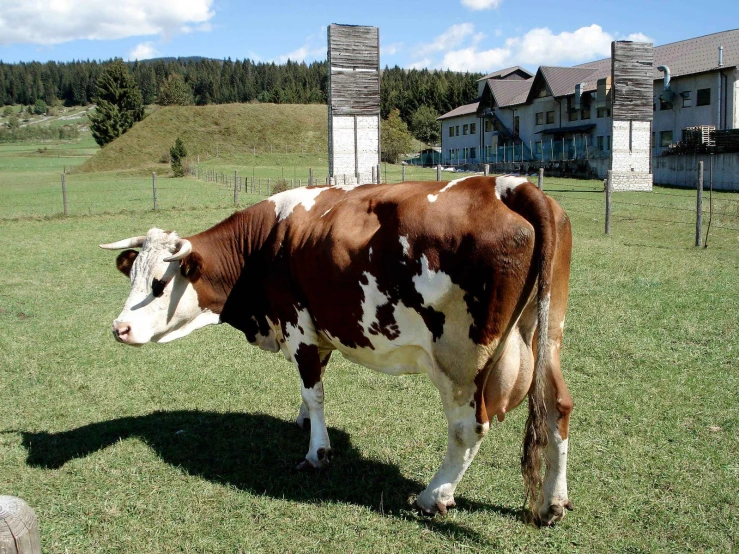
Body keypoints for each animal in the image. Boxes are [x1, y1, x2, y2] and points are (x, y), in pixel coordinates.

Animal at [99, 174, 572, 520]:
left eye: (158, 285)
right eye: (132, 276)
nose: (120, 328)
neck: (264, 244)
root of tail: (506, 185)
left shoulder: (298, 326)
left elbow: (315, 390)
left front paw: (317, 451)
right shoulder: (317, 328)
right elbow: (311, 387)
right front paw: (303, 421)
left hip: (461, 358)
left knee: (467, 428)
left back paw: (433, 495)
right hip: (547, 335)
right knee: (557, 405)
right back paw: (554, 501)